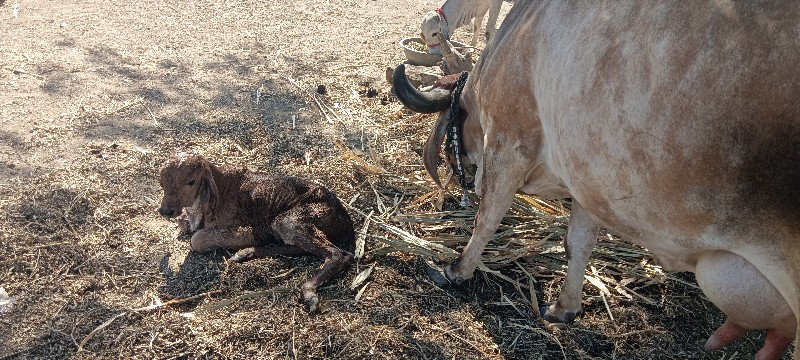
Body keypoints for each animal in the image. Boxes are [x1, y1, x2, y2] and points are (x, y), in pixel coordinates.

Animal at [158, 153, 354, 312]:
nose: (165, 211)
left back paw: (309, 293)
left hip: (289, 220)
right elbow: (184, 224)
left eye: (191, 182)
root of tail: (345, 216)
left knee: (338, 254)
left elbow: (197, 239)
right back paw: (245, 253)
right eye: (162, 181)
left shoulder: (248, 230)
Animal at [392, 1, 800, 358]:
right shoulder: (587, 181)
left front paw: (456, 270)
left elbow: (487, 219)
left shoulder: (510, 144)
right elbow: (578, 243)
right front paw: (565, 308)